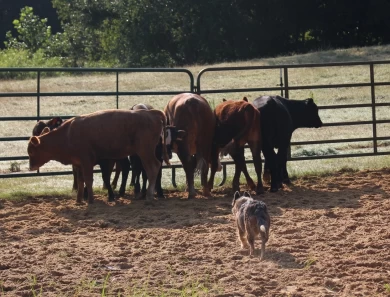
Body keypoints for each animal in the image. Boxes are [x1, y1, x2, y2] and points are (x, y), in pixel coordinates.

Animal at [27, 109, 171, 204]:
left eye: (31, 152)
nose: (31, 167)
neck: (67, 135)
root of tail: (151, 113)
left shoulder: (86, 161)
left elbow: (88, 180)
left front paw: (90, 200)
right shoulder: (79, 163)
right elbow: (80, 181)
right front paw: (79, 200)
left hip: (145, 151)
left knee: (153, 168)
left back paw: (149, 195)